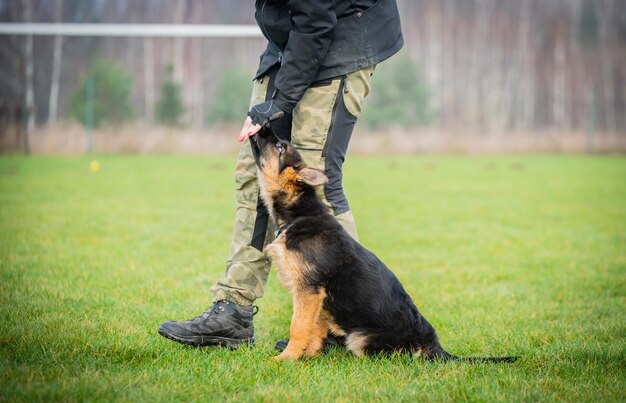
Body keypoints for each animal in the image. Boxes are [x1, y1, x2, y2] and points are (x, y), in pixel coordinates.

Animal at [249, 127, 516, 362]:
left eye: (281, 147)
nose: (263, 125)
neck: (299, 213)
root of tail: (433, 345)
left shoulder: (309, 291)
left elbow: (299, 327)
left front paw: (286, 359)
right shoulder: (317, 297)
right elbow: (315, 330)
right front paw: (309, 356)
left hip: (361, 338)